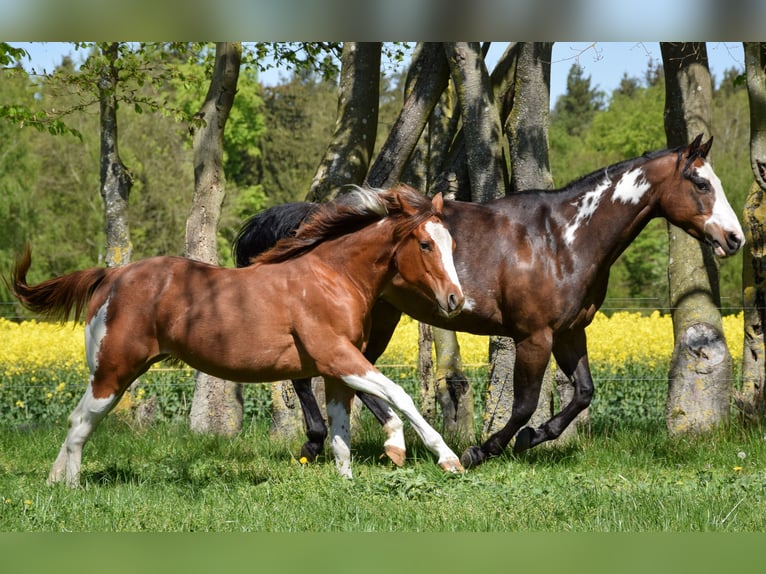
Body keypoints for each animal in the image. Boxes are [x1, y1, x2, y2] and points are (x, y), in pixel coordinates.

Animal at [8, 184, 466, 487]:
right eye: (425, 244)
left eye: (451, 244)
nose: (455, 299)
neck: (331, 278)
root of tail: (112, 276)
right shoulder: (339, 357)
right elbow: (399, 396)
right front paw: (445, 458)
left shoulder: (336, 369)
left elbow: (340, 430)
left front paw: (350, 478)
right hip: (113, 373)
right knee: (80, 423)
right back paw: (70, 486)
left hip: (113, 375)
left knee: (76, 419)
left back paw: (53, 482)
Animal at [233, 135, 745, 468]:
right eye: (701, 183)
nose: (735, 238)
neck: (562, 239)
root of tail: (304, 217)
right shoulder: (534, 335)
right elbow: (523, 403)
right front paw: (485, 449)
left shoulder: (569, 332)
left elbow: (583, 392)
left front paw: (534, 438)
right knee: (319, 376)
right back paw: (322, 443)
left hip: (378, 315)